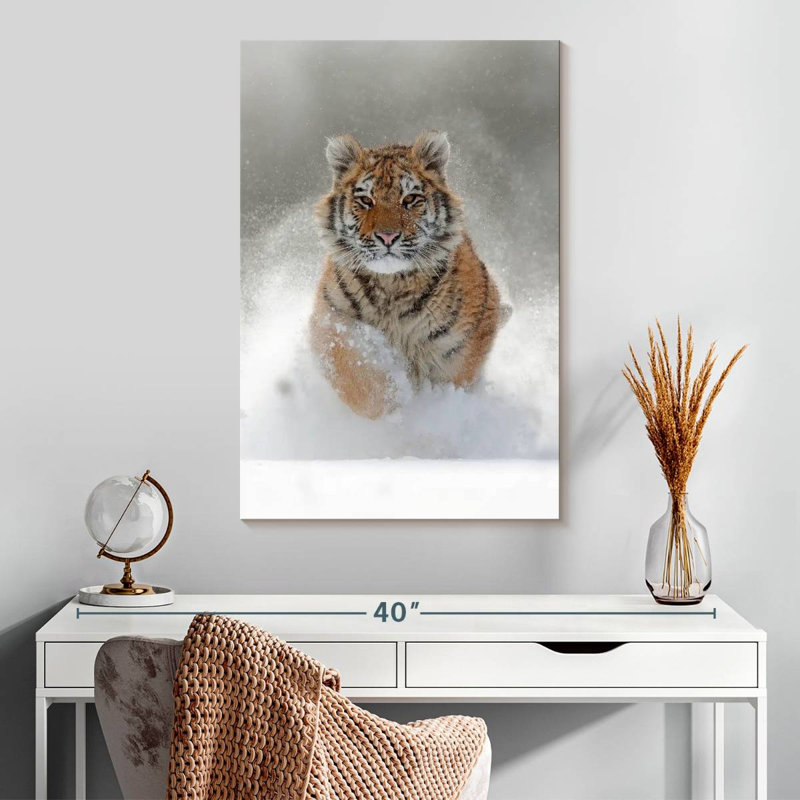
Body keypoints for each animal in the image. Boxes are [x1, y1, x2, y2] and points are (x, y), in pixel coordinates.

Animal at [310, 130, 509, 419]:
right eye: (366, 200)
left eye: (410, 199)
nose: (387, 236)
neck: (392, 285)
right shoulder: (332, 321)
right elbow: (358, 379)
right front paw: (391, 406)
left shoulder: (461, 344)